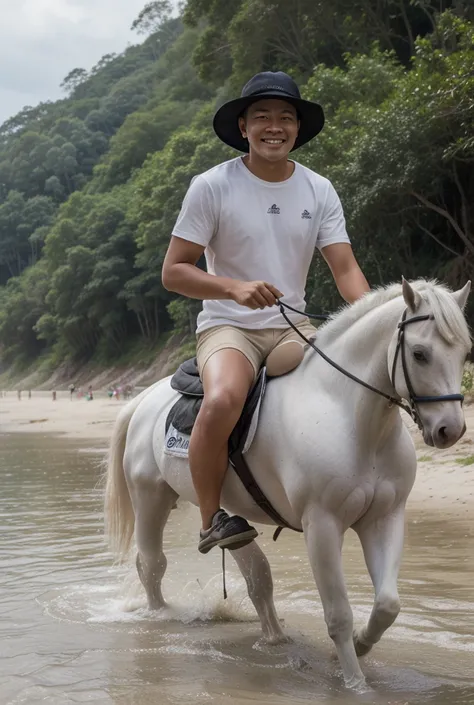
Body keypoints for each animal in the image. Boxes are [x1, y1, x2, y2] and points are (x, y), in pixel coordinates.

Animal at [103, 280, 470, 688]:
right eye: (420, 354)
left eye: (465, 353)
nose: (450, 430)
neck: (348, 414)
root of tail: (143, 398)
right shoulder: (322, 525)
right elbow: (338, 615)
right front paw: (354, 685)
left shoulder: (384, 518)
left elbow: (388, 605)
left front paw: (361, 646)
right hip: (149, 498)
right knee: (151, 565)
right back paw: (159, 622)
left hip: (223, 511)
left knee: (255, 574)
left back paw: (275, 639)